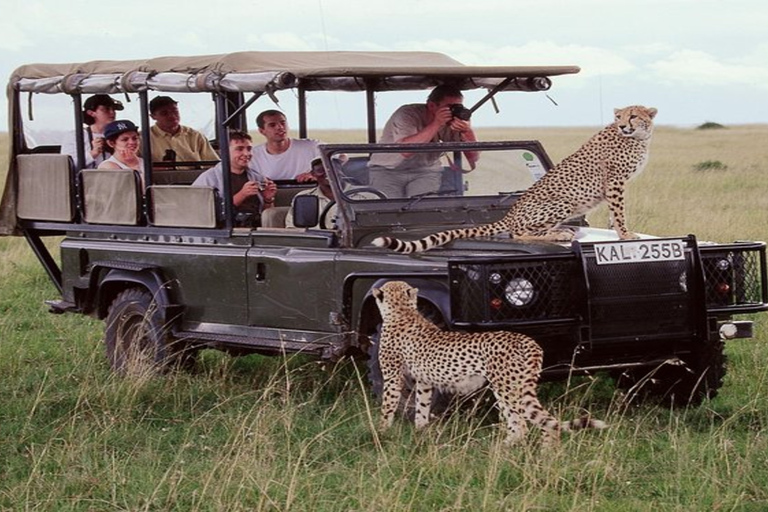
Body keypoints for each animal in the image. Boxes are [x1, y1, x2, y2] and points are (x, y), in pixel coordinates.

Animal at [372, 104, 656, 254]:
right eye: (619, 117)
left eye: (633, 116)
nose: (623, 125)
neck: (638, 138)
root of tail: (509, 214)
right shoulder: (615, 181)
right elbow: (618, 211)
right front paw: (626, 234)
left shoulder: (616, 183)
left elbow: (615, 212)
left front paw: (621, 232)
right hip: (562, 203)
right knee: (519, 233)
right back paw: (558, 235)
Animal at [372, 280, 608, 444]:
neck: (402, 310)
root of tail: (528, 340)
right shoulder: (423, 381)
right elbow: (421, 405)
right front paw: (421, 431)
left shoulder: (393, 376)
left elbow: (388, 404)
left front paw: (381, 431)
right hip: (513, 387)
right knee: (542, 423)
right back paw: (545, 453)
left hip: (506, 387)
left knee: (521, 425)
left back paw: (501, 448)